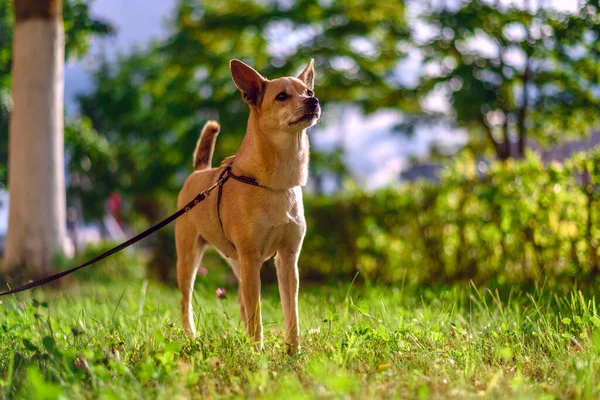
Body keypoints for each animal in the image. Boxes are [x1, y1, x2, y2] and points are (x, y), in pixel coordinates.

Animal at [176, 57, 322, 352]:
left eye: (309, 91)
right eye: (281, 96)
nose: (313, 101)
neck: (275, 184)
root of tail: (199, 172)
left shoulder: (288, 260)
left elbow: (292, 313)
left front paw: (294, 352)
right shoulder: (251, 259)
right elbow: (257, 315)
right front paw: (258, 353)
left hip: (236, 262)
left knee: (241, 301)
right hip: (189, 259)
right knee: (186, 302)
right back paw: (191, 337)